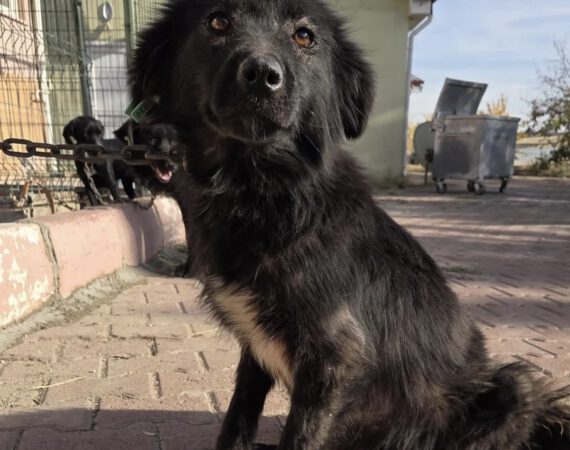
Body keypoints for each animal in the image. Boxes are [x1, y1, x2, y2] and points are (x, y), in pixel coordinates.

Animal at [130, 1, 570, 449]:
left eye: (304, 37)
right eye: (218, 21)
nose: (262, 76)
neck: (260, 189)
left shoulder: (337, 356)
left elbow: (300, 435)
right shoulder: (255, 347)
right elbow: (237, 419)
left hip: (513, 386)